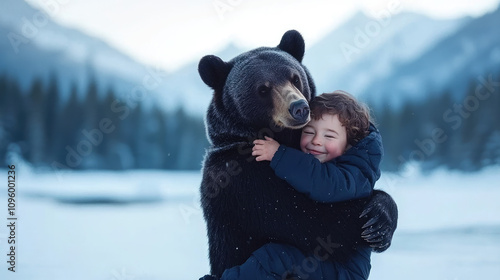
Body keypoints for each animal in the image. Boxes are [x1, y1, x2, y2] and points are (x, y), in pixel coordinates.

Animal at [197, 30, 396, 276]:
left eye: (294, 78)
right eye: (263, 89)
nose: (299, 107)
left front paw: (379, 218)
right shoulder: (243, 180)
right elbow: (312, 221)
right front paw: (377, 216)